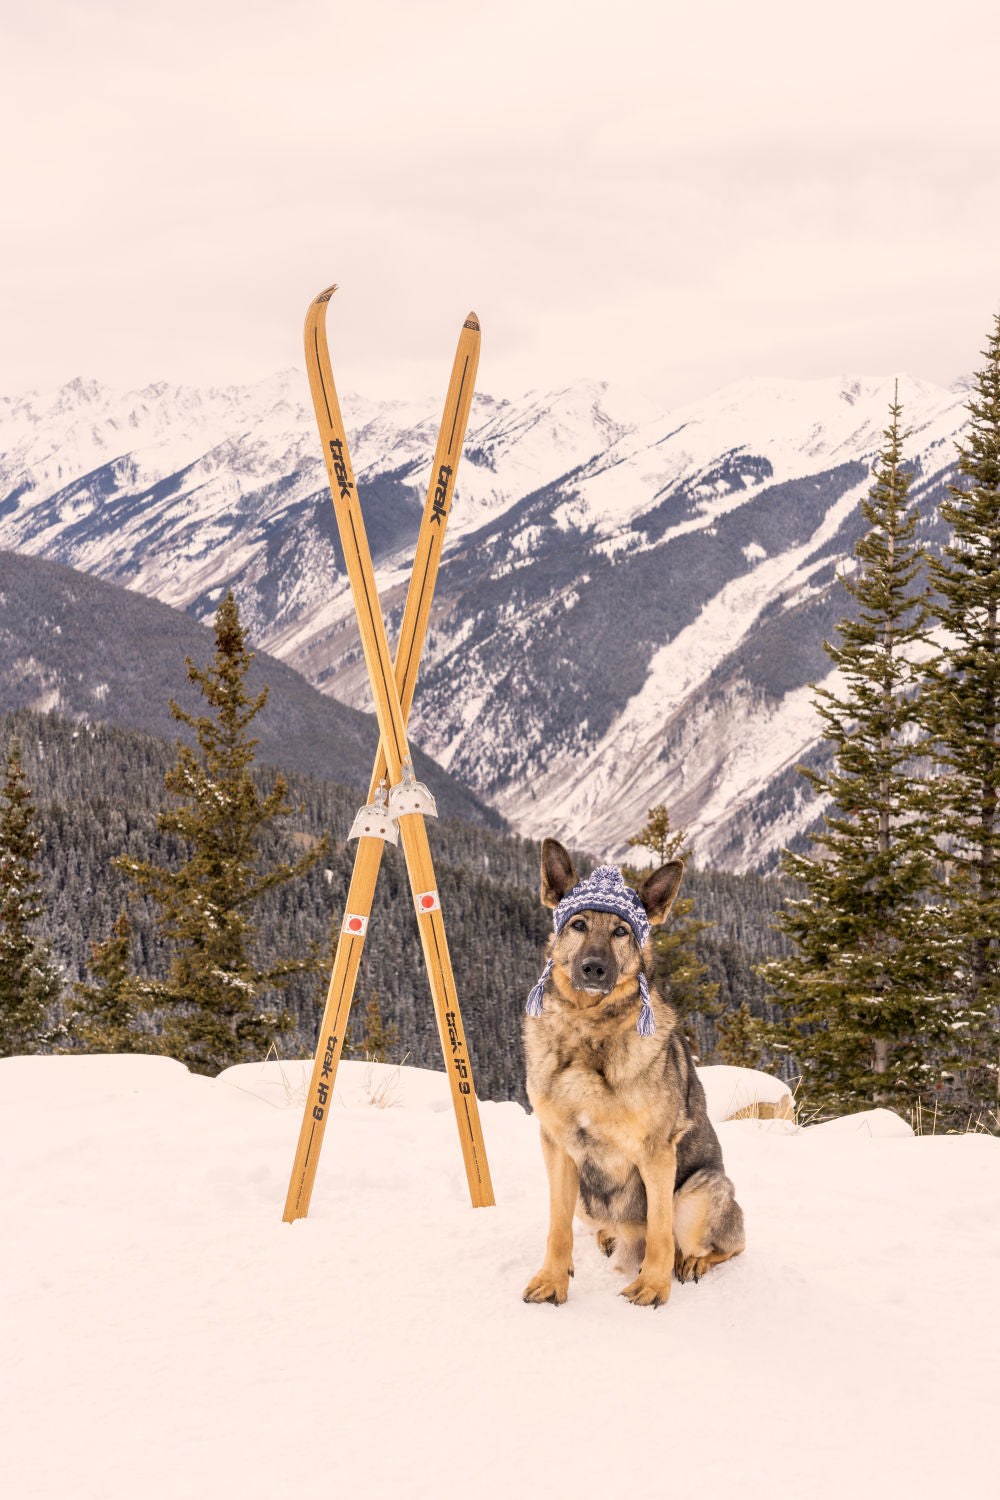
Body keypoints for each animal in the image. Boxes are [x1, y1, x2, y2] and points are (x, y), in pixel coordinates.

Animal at [524, 840, 743, 1308]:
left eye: (621, 932)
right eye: (578, 924)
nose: (594, 968)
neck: (590, 1033)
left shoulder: (657, 1153)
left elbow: (660, 1229)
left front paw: (654, 1286)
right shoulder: (557, 1148)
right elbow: (557, 1228)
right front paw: (553, 1279)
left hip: (699, 1191)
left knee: (723, 1244)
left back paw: (689, 1262)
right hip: (588, 1199)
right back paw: (607, 1238)